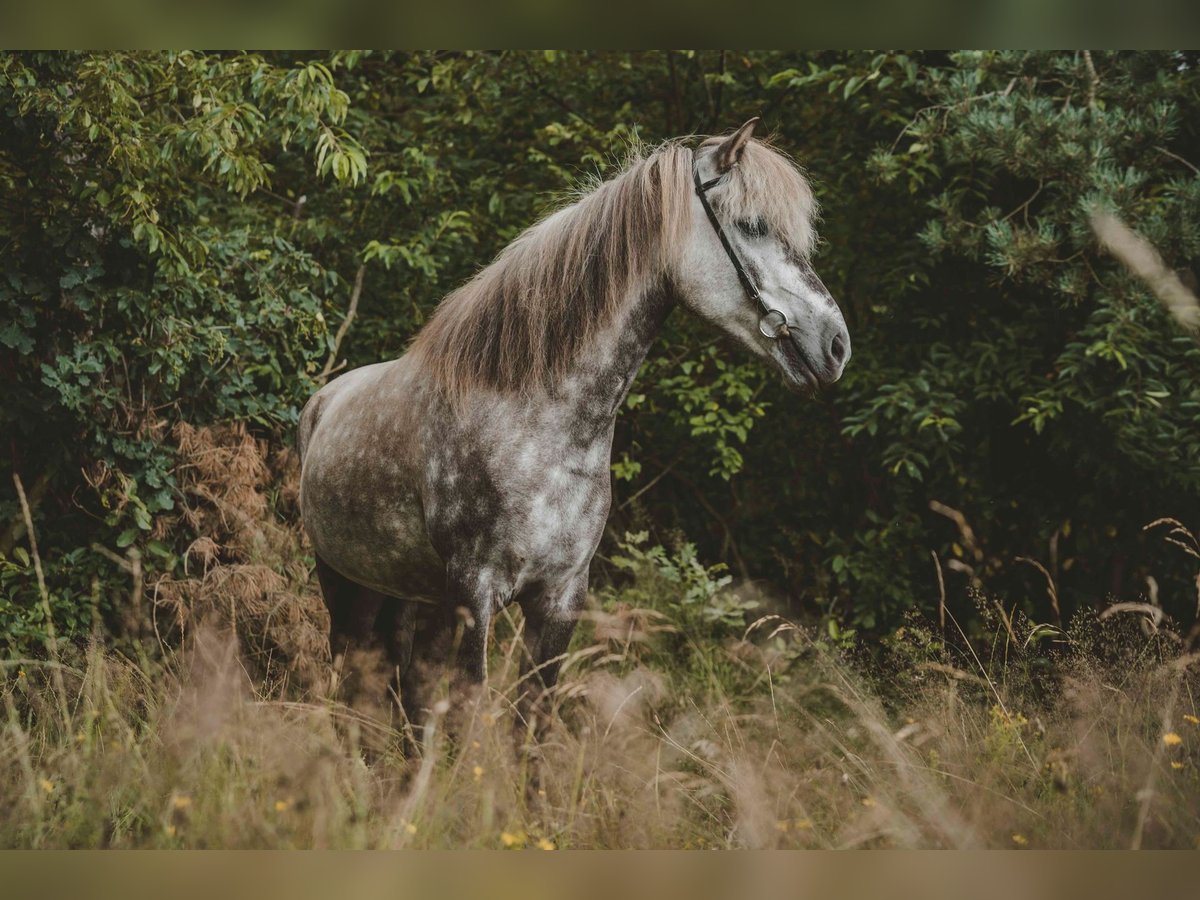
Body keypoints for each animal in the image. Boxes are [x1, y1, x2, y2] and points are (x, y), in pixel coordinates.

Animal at [295, 121, 849, 748]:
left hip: (408, 594)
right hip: (346, 588)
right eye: (753, 224)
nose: (837, 345)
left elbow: (529, 727)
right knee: (352, 686)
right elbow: (467, 718)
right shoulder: (474, 594)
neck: (540, 426)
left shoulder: (560, 600)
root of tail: (323, 401)